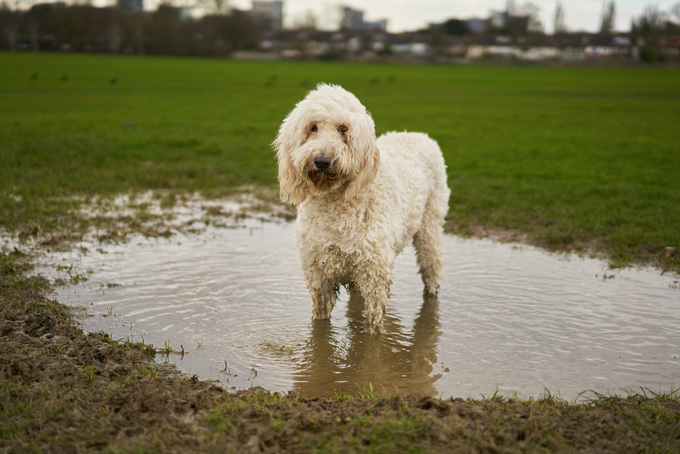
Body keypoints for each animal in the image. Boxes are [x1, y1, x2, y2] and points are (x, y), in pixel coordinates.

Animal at [274, 85, 448, 334]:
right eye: (312, 127)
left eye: (343, 129)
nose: (322, 161)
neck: (334, 205)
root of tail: (417, 134)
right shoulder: (319, 274)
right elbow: (320, 323)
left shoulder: (374, 273)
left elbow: (374, 328)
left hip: (429, 226)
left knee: (432, 265)